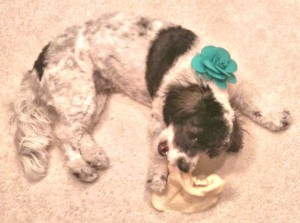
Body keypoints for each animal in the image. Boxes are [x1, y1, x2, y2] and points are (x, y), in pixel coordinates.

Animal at [11, 12, 290, 193]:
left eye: (210, 152)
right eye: (193, 135)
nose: (185, 167)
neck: (205, 78)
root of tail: (42, 57)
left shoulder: (237, 85)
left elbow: (254, 100)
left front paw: (276, 117)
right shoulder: (157, 121)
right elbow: (157, 154)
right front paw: (158, 176)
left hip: (95, 95)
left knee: (78, 131)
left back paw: (95, 155)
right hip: (79, 91)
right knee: (63, 133)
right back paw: (80, 166)